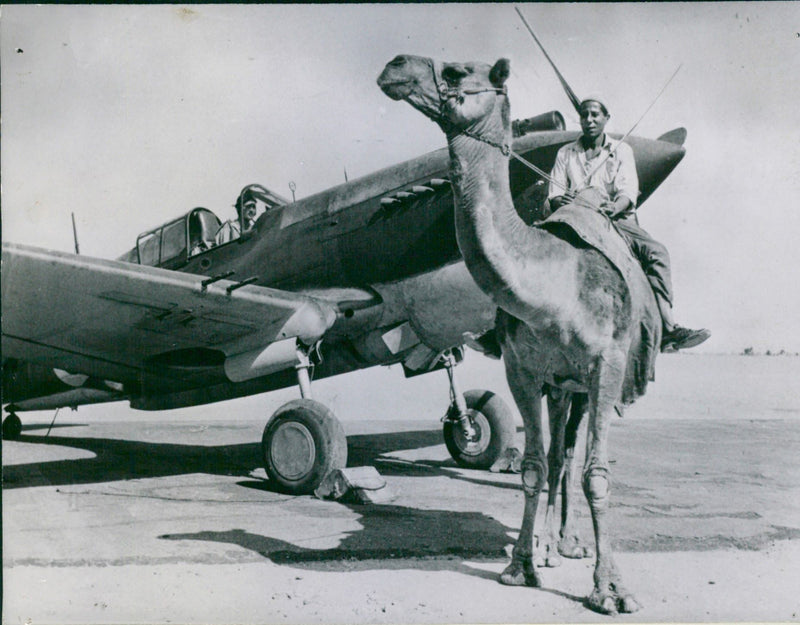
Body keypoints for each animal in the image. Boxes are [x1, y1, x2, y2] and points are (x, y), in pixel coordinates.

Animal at [378, 55, 661, 614]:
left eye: (456, 69)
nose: (396, 66)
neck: (555, 285)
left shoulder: (607, 366)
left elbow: (597, 475)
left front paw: (611, 590)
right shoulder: (524, 370)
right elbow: (533, 466)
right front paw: (520, 566)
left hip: (584, 386)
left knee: (571, 457)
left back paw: (571, 544)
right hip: (560, 385)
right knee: (555, 457)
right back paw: (550, 546)